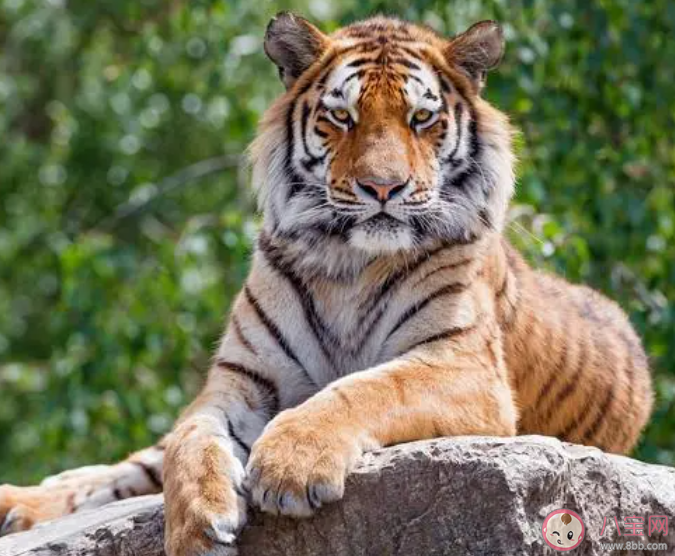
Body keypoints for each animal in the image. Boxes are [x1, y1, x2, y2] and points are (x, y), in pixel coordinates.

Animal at [0, 13, 653, 556]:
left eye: (422, 118)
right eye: (342, 116)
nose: (383, 188)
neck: (350, 262)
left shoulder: (464, 365)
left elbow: (366, 388)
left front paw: (289, 466)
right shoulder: (238, 380)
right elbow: (190, 441)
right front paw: (195, 528)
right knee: (131, 466)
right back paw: (18, 504)